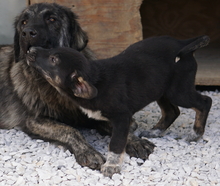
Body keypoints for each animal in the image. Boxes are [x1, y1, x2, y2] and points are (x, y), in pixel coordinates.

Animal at [0, 2, 155, 171]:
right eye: (24, 22)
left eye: (52, 19)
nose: (27, 32)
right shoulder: (34, 120)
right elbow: (70, 130)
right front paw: (88, 151)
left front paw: (135, 141)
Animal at [25, 35, 211, 177]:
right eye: (51, 51)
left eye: (53, 60)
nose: (30, 50)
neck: (95, 79)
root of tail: (183, 42)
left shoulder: (122, 117)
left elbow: (116, 143)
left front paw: (112, 166)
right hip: (161, 90)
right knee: (172, 111)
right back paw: (156, 131)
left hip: (178, 91)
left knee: (205, 102)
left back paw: (196, 134)